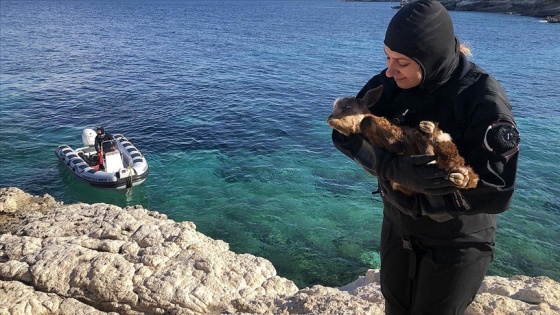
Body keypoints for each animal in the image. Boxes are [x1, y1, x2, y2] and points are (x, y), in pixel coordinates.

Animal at [326, 85, 480, 196]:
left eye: (348, 107)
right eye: (334, 107)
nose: (330, 118)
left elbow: (367, 119)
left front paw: (398, 146)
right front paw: (398, 147)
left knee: (466, 171)